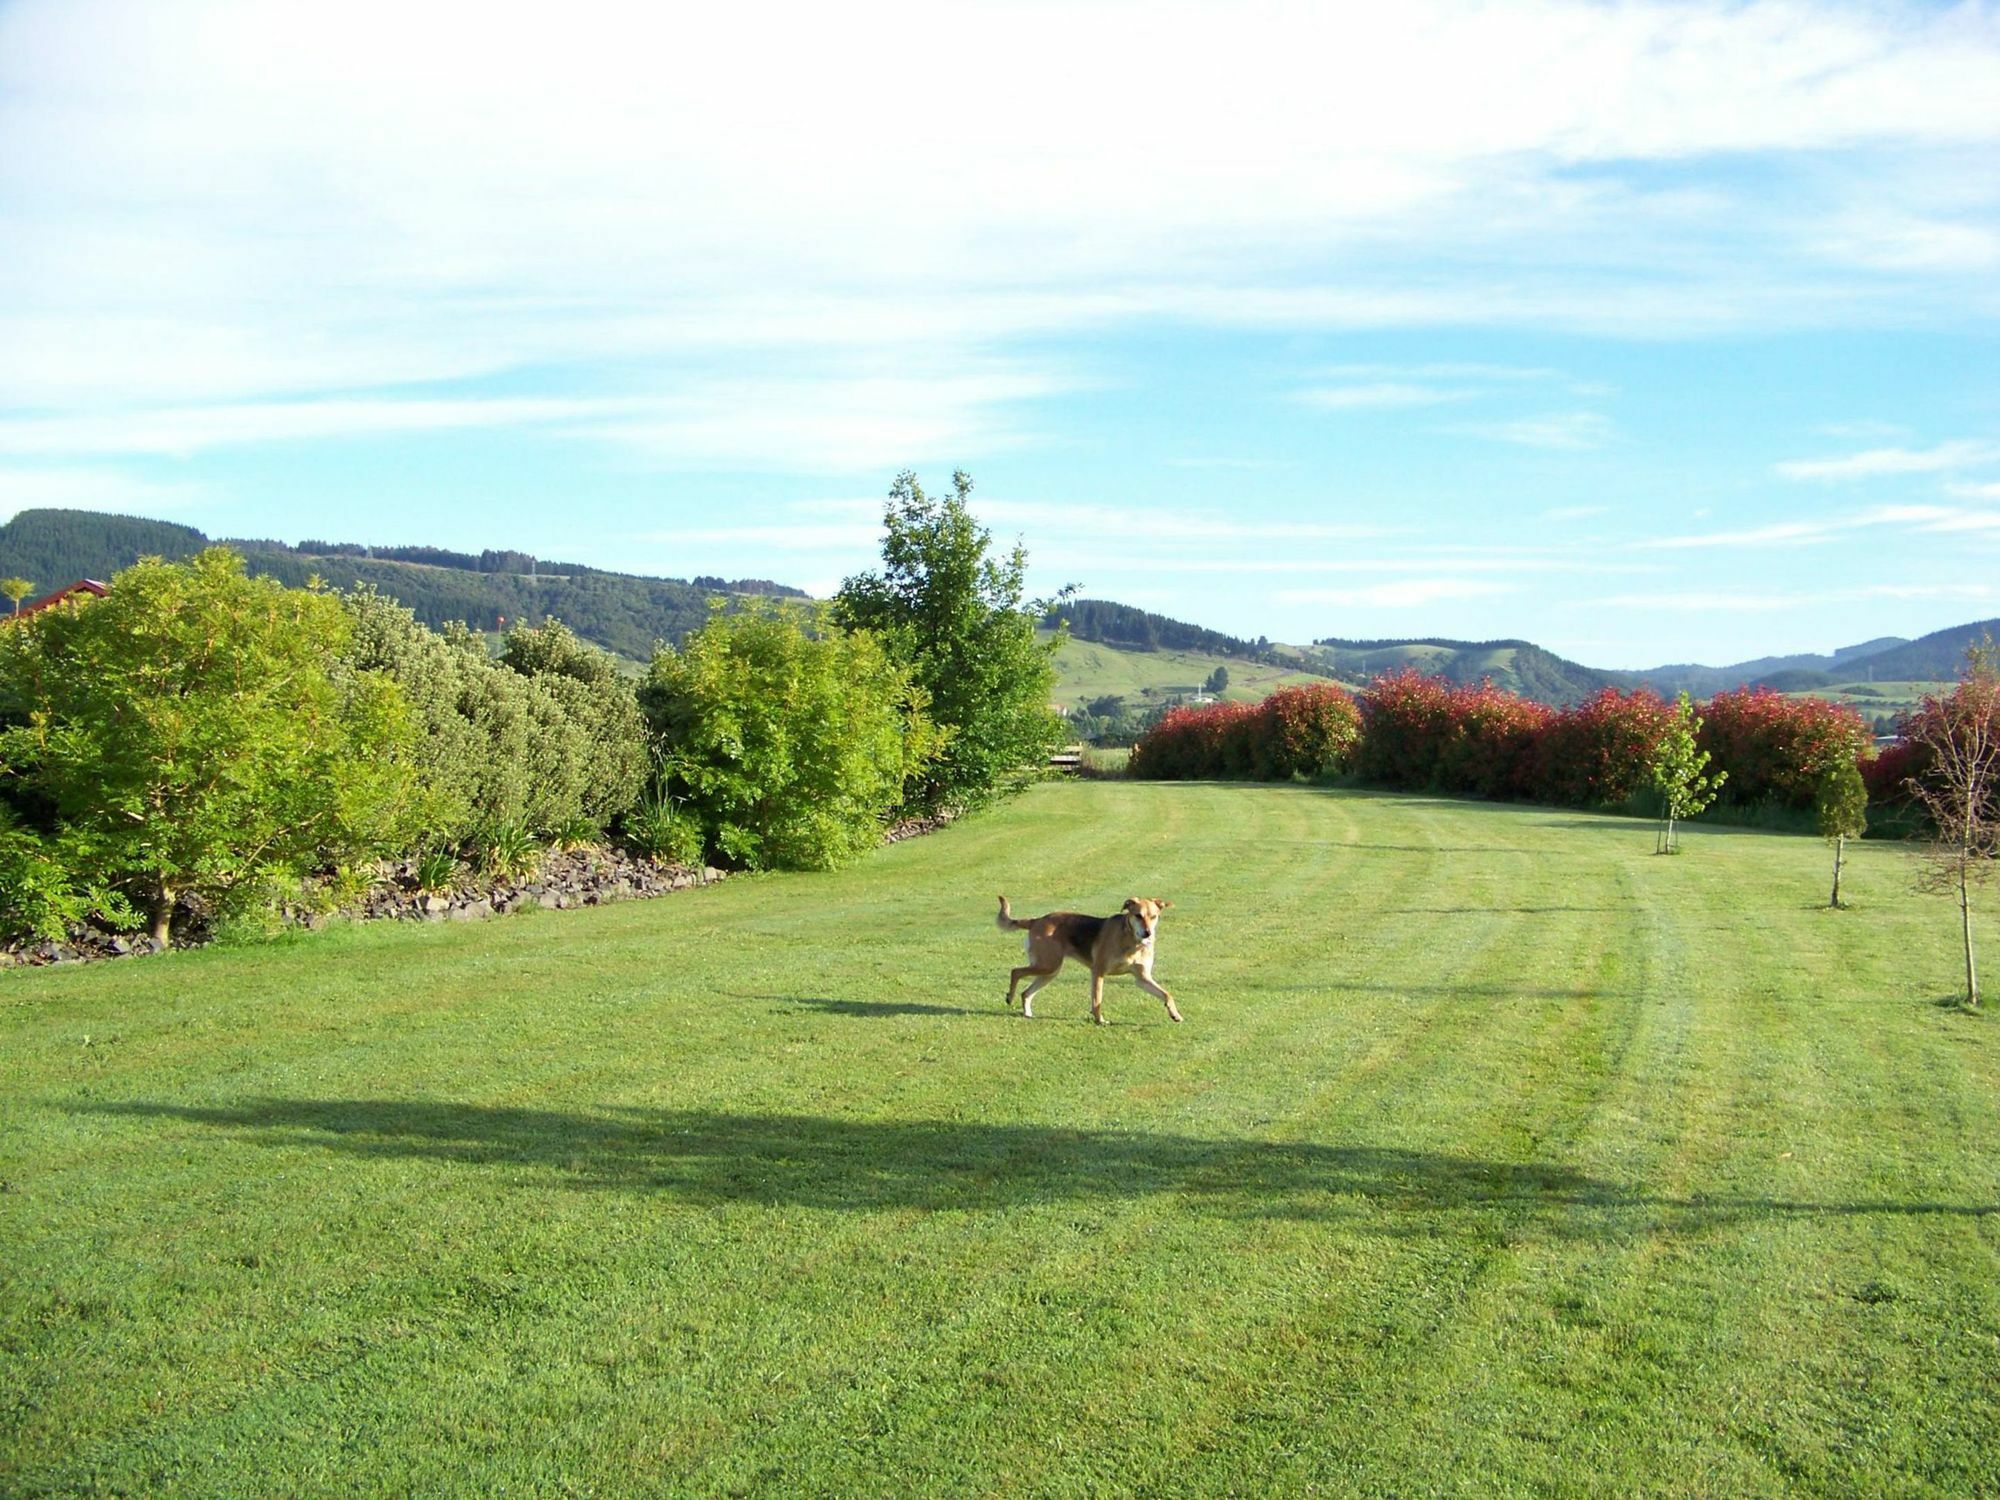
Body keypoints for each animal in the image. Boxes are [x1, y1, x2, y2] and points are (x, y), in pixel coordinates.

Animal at [996, 900, 1176, 1032]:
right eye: (1138, 915)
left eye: (1154, 916)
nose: (1148, 933)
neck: (1131, 940)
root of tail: (1036, 920)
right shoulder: (1098, 972)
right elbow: (1097, 1001)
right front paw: (1100, 1020)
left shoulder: (1142, 979)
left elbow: (1167, 995)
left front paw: (1175, 1014)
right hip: (1048, 965)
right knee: (1015, 972)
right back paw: (1010, 997)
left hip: (1050, 971)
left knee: (1026, 993)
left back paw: (1027, 1012)